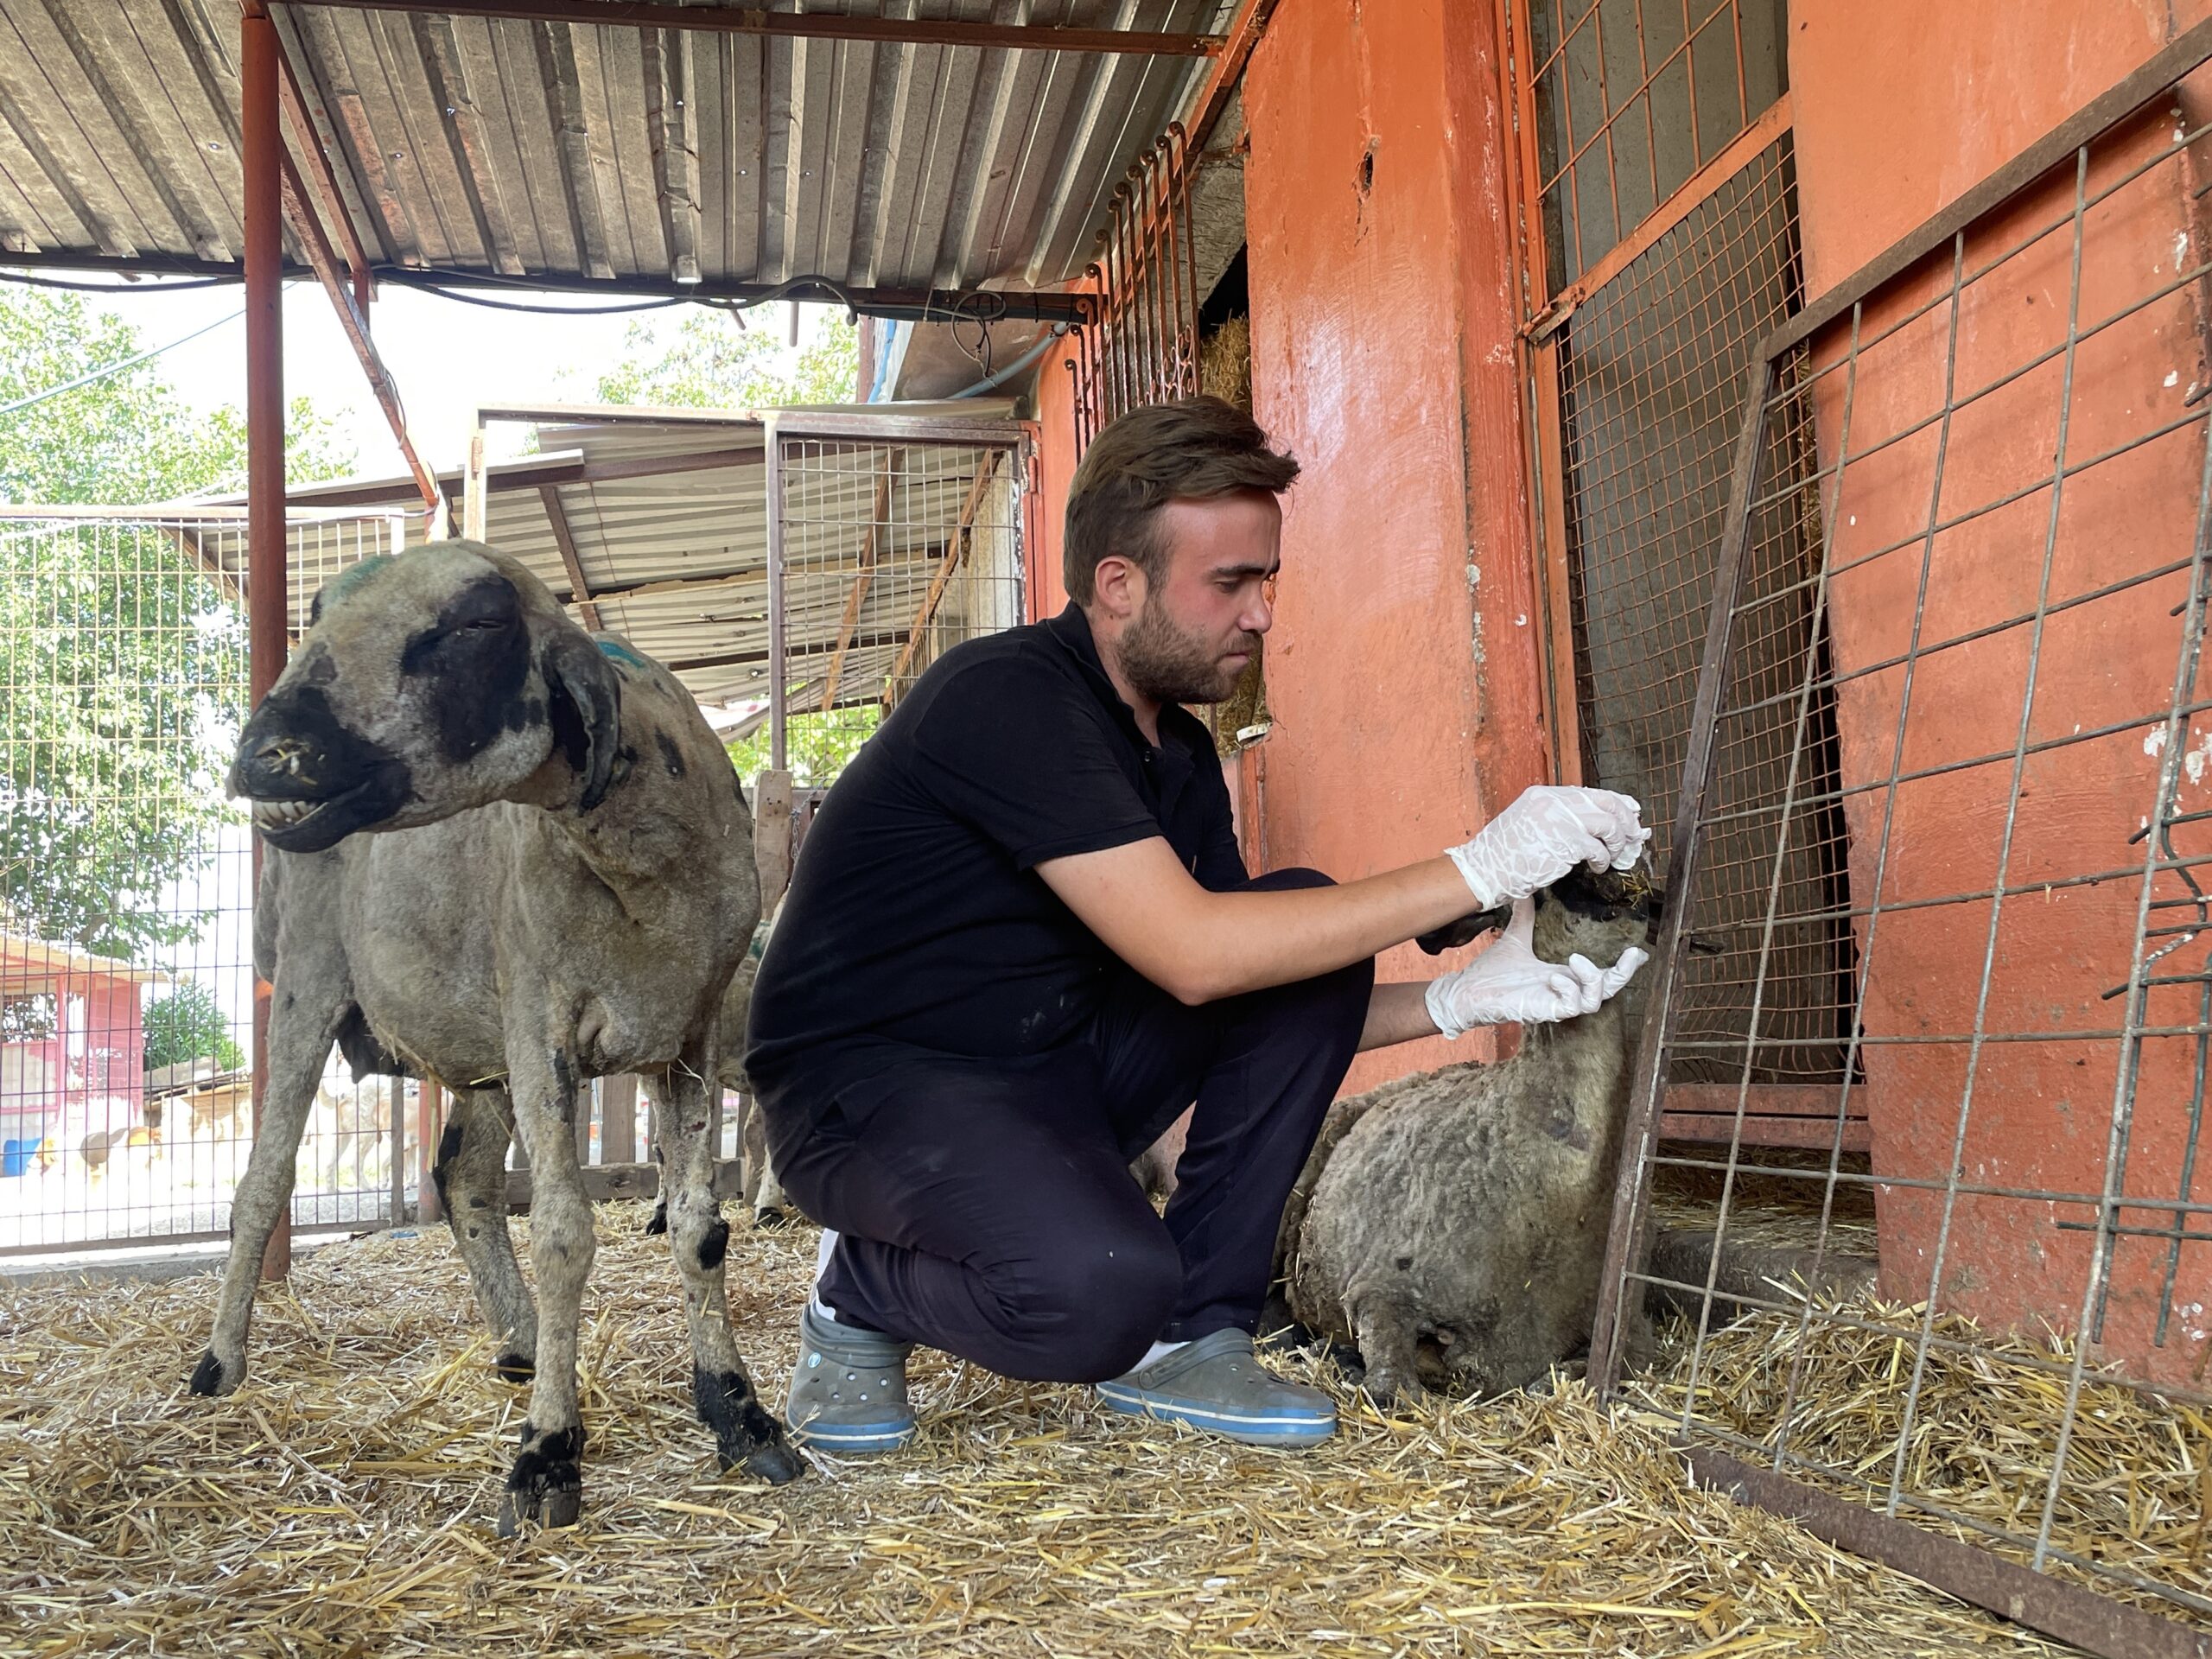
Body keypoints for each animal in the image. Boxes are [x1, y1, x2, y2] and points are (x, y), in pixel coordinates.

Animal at [200, 542, 804, 1530]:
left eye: (480, 621)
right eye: (316, 611)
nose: (269, 755)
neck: (636, 873)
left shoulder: (684, 1036)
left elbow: (699, 1232)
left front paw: (740, 1416)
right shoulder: (543, 1023)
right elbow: (563, 1236)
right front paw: (549, 1455)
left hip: (480, 1049)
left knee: (463, 1180)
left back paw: (520, 1341)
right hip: (310, 984)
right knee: (263, 1181)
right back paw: (220, 1363)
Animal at [1282, 862, 1663, 1407]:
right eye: (1542, 892)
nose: (1613, 877)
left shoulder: (1628, 1326)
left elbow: (1604, 1368)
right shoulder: (1380, 1286)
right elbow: (1396, 1388)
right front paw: (1358, 1365)